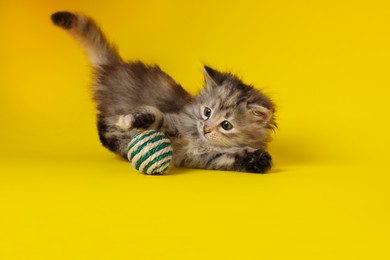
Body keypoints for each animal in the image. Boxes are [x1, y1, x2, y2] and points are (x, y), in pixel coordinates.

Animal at [51, 11, 276, 173]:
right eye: (207, 112)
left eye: (226, 125)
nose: (206, 128)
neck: (200, 141)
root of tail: (113, 66)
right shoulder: (174, 121)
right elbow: (156, 116)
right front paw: (132, 120)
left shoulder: (205, 158)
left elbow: (229, 158)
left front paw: (259, 161)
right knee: (104, 128)